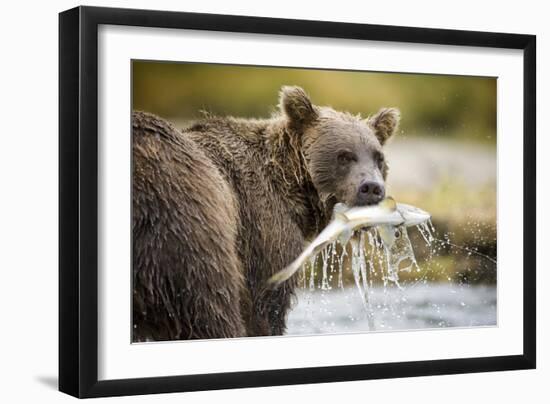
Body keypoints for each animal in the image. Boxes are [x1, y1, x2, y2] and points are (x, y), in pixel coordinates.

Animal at [134, 86, 402, 340]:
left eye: (378, 158)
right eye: (345, 156)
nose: (372, 188)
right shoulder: (262, 228)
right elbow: (265, 305)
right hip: (185, 223)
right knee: (209, 308)